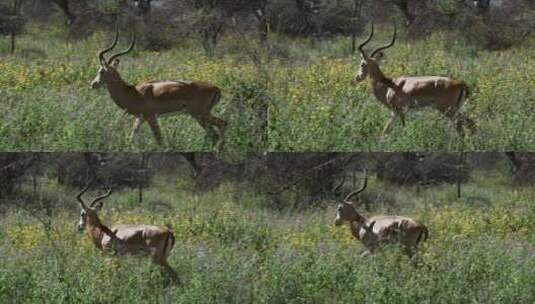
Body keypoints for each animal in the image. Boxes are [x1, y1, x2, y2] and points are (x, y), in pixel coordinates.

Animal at [91, 27, 227, 149]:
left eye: (101, 71)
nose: (93, 84)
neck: (133, 93)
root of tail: (216, 88)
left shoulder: (151, 117)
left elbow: (159, 139)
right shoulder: (140, 118)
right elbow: (132, 137)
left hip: (200, 114)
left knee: (220, 127)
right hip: (200, 115)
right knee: (215, 133)